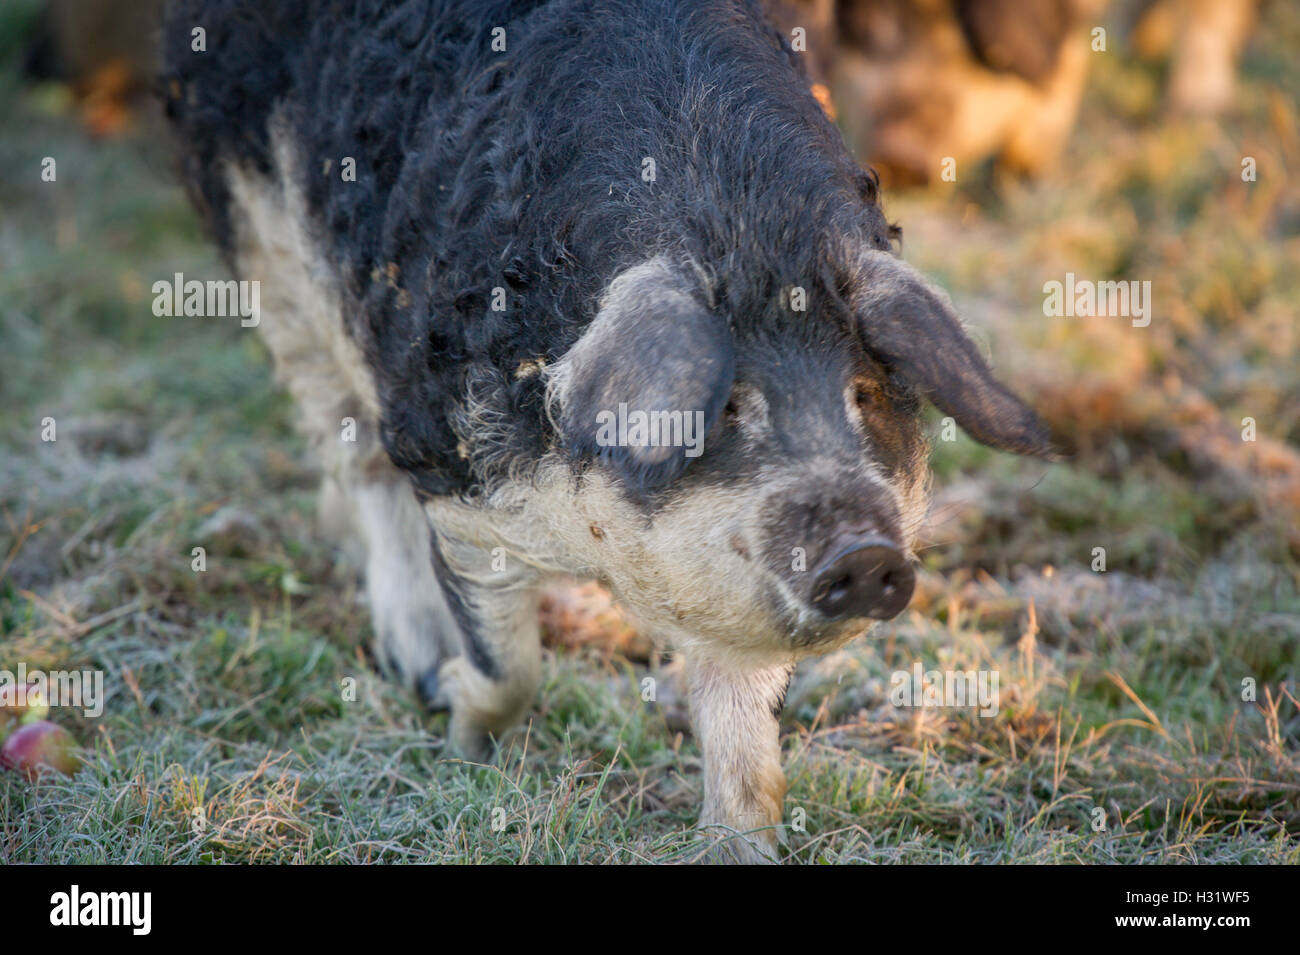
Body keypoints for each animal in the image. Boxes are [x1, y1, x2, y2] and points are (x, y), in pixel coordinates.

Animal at [162, 0, 1055, 862]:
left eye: (864, 394)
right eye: (728, 406)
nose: (864, 552)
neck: (746, 235)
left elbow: (746, 742)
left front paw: (737, 845)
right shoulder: (460, 482)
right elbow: (508, 663)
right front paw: (458, 722)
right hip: (268, 254)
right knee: (353, 453)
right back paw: (413, 662)